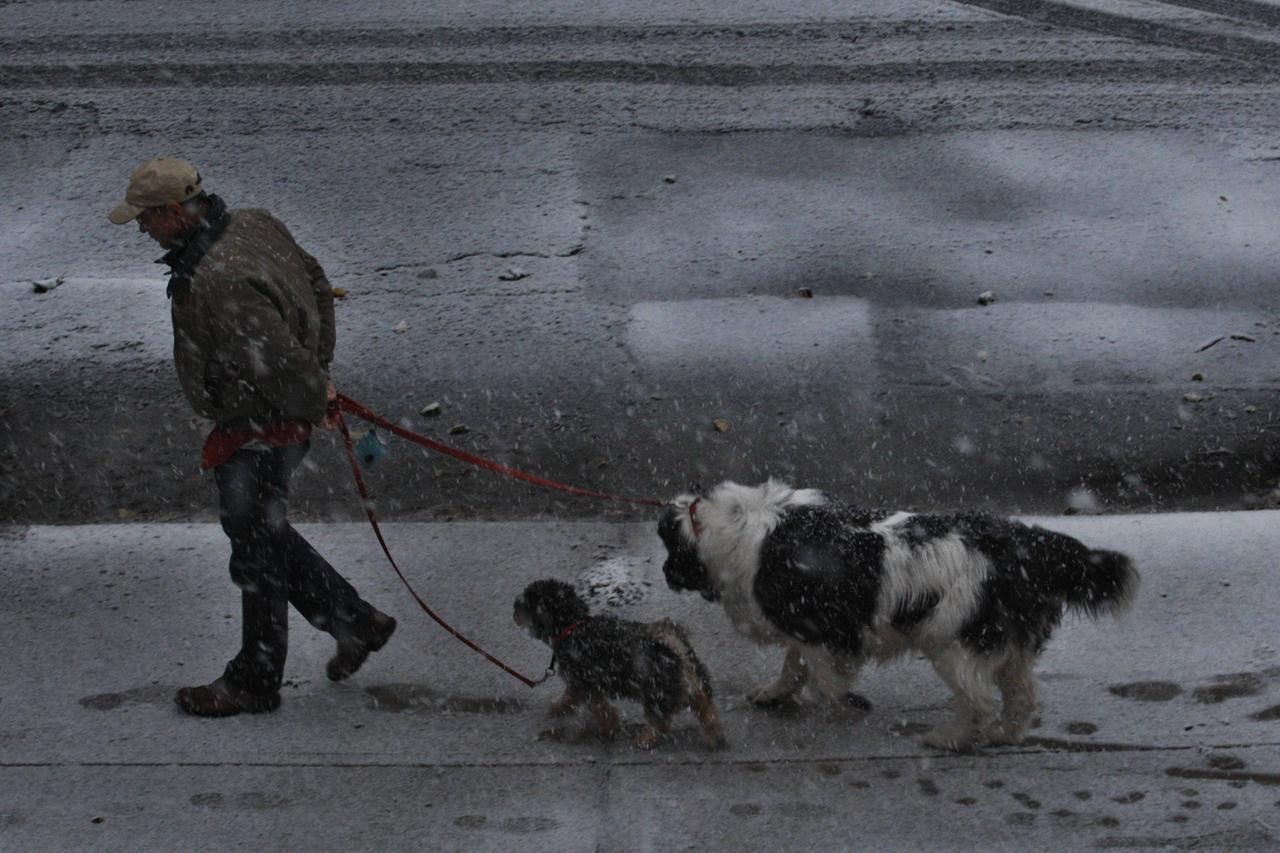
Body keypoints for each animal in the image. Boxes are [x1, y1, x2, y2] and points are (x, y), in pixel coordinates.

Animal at [514, 578, 727, 742]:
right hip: (690, 682)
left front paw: (606, 729)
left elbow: (597, 708)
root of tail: (674, 645)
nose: (514, 607)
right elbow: (570, 699)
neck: (572, 627)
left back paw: (646, 739)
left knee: (662, 723)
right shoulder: (581, 685)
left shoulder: (586, 683)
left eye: (526, 603)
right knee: (704, 705)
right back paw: (716, 736)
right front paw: (558, 708)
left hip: (656, 693)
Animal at [660, 479, 1141, 753]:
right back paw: (1003, 735)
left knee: (978, 700)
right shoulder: (805, 628)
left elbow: (824, 679)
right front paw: (775, 693)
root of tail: (1033, 546)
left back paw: (949, 739)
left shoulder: (824, 632)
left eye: (668, 552)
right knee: (1021, 697)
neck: (734, 524)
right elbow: (794, 668)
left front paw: (849, 703)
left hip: (952, 645)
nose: (664, 573)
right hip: (1008, 644)